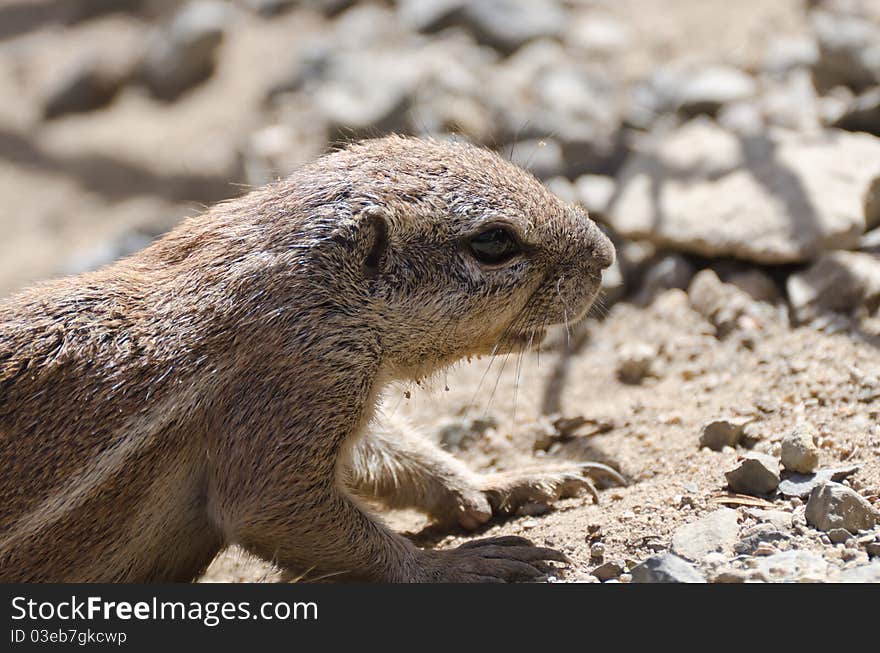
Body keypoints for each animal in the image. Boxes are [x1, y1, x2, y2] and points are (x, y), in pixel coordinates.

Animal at [0, 134, 620, 580]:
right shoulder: (297, 387)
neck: (312, 295)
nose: (607, 254)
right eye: (493, 243)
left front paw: (509, 481)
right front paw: (454, 564)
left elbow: (394, 454)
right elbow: (274, 508)